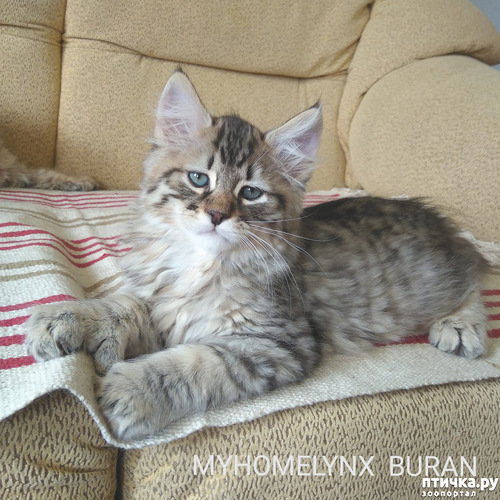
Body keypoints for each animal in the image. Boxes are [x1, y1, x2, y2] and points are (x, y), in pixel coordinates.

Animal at [25, 69, 489, 440]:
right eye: (199, 179)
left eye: (250, 192)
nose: (216, 215)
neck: (203, 264)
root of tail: (434, 218)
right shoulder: (163, 304)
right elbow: (121, 305)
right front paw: (67, 317)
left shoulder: (277, 343)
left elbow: (195, 363)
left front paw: (131, 390)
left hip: (433, 280)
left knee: (477, 277)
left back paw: (460, 327)